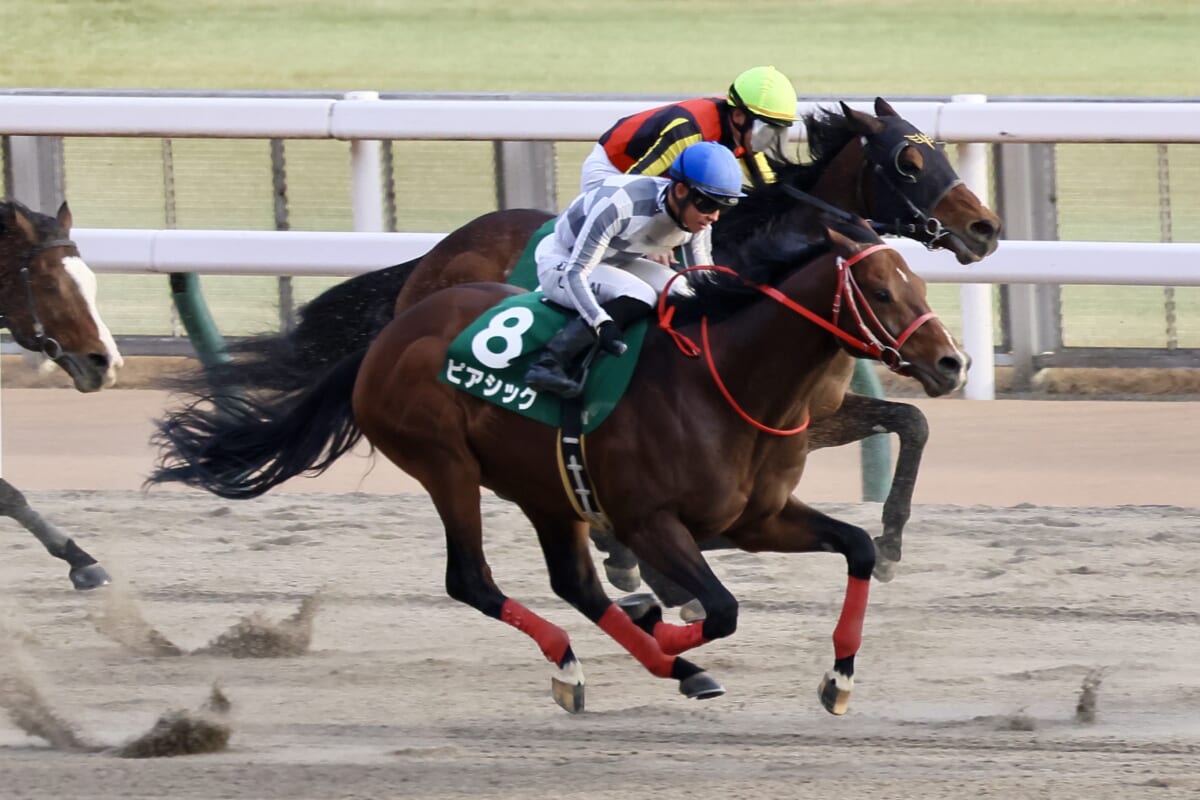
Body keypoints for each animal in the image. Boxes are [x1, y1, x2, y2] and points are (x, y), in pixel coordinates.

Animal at [152, 217, 974, 714]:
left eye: (919, 283)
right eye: (879, 290)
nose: (951, 361)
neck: (725, 381)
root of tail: (389, 335)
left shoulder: (757, 518)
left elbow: (857, 547)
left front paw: (838, 678)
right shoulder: (652, 521)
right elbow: (721, 608)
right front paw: (668, 627)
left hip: (545, 488)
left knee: (572, 584)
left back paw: (635, 655)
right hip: (445, 464)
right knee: (472, 580)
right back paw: (606, 662)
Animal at [177, 98, 998, 587]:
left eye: (944, 152)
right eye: (910, 162)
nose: (986, 228)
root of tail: (433, 259)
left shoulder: (800, 414)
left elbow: (912, 422)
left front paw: (888, 542)